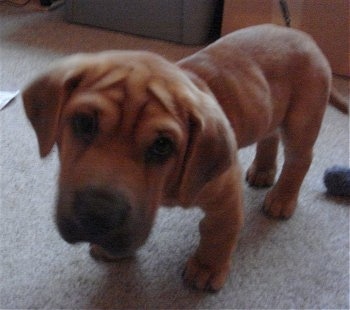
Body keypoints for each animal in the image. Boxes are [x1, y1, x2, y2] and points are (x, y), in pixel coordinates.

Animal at [21, 24, 344, 294]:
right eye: (84, 123)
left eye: (163, 146)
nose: (98, 215)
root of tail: (300, 34)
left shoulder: (224, 193)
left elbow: (218, 233)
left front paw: (206, 268)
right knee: (270, 136)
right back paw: (263, 171)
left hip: (302, 120)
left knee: (300, 159)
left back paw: (282, 198)